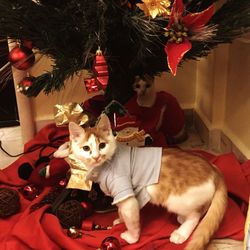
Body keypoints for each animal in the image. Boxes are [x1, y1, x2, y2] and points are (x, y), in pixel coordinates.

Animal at [54, 114, 227, 250]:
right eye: (86, 148)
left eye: (102, 145)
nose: (96, 157)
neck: (105, 164)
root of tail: (214, 170)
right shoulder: (120, 196)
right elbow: (120, 210)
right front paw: (119, 219)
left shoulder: (124, 190)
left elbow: (131, 218)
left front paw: (131, 237)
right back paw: (182, 219)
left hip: (177, 199)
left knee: (196, 216)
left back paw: (181, 233)